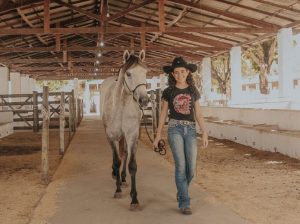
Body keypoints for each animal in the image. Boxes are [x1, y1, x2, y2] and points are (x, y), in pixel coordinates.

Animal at [100, 49, 149, 210]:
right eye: (128, 73)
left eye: (145, 72)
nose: (144, 100)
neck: (120, 106)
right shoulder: (112, 136)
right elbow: (116, 161)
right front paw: (118, 190)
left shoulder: (132, 136)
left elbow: (131, 165)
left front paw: (134, 199)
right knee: (116, 156)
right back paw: (115, 175)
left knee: (125, 154)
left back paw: (122, 178)